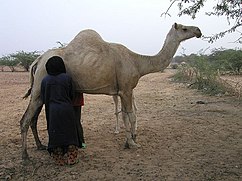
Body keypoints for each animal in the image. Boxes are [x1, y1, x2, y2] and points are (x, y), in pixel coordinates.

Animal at [19, 23, 202, 160]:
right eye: (184, 28)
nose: (198, 30)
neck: (137, 62)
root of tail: (38, 60)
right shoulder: (127, 89)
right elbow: (131, 115)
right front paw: (133, 143)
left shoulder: (122, 90)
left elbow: (125, 115)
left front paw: (128, 142)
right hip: (39, 87)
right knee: (25, 120)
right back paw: (25, 156)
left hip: (40, 90)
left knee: (33, 119)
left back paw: (41, 146)